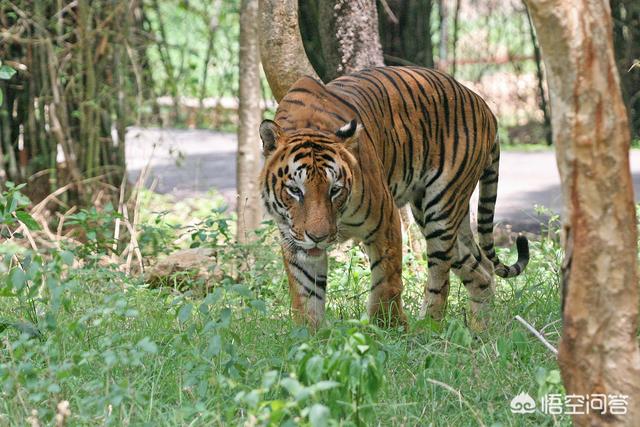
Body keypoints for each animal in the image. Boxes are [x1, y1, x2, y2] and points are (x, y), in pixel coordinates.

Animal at [258, 65, 528, 330]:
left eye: (334, 190)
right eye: (295, 190)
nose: (319, 237)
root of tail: (485, 107)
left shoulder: (384, 220)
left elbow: (386, 282)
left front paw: (389, 328)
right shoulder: (293, 238)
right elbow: (306, 294)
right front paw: (310, 334)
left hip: (441, 208)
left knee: (440, 276)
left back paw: (428, 327)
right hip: (439, 216)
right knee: (483, 271)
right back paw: (481, 330)